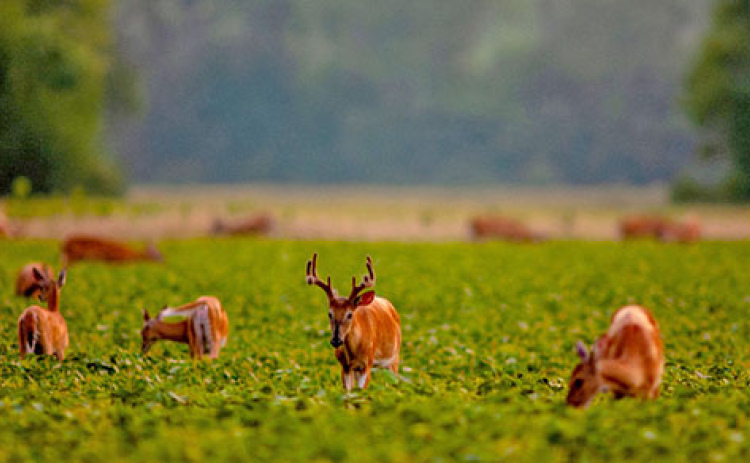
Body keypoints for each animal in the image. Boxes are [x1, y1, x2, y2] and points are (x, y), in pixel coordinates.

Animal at [306, 253, 401, 391]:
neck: (353, 354)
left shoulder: (367, 364)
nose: (336, 340)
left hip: (394, 358)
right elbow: (349, 394)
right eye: (330, 314)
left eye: (350, 314)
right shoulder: (345, 366)